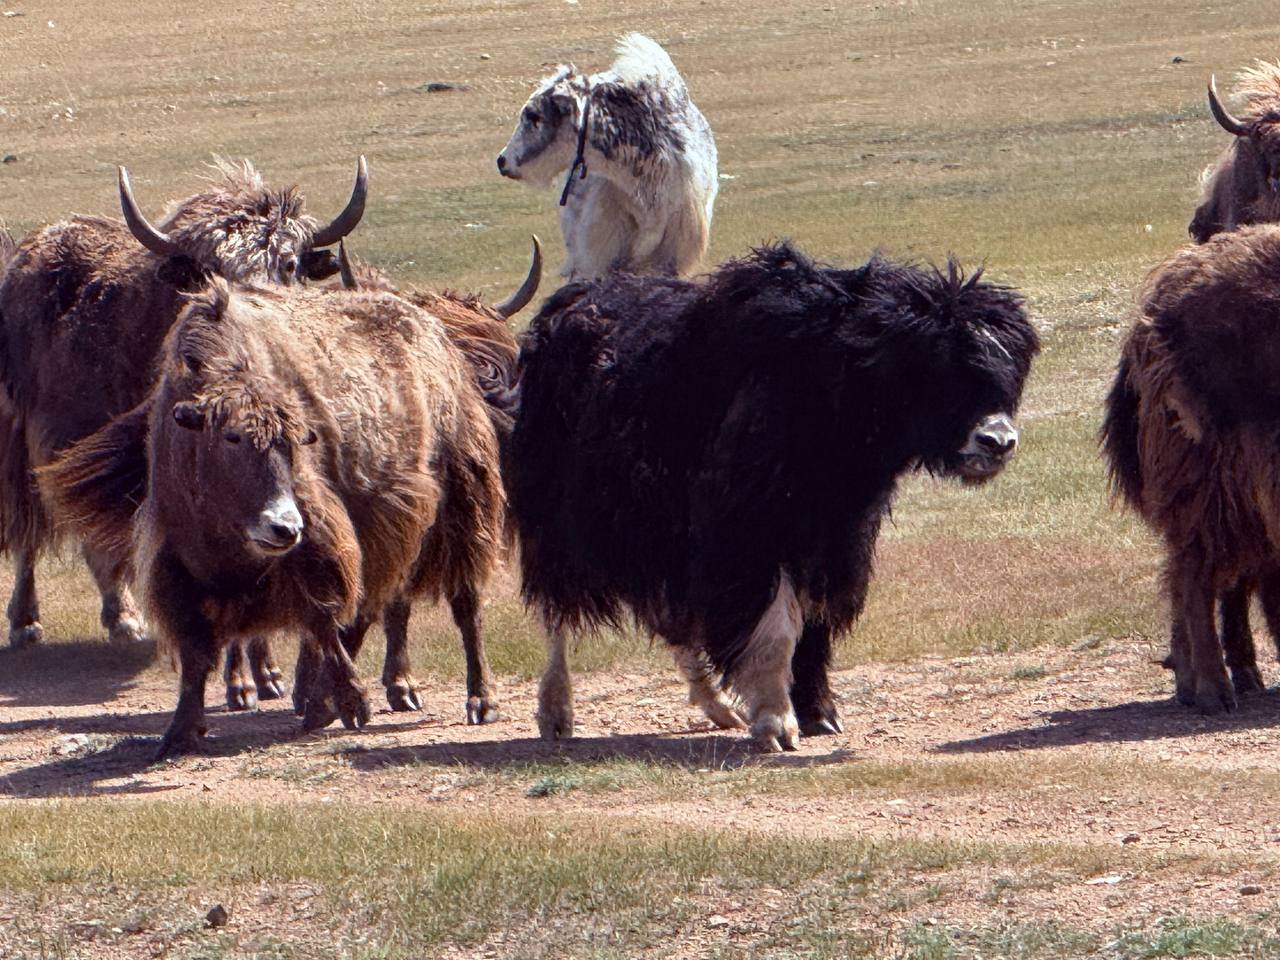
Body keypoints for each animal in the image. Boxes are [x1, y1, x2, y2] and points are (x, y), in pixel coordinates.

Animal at [0, 158, 366, 710]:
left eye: (288, 264)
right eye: (209, 271)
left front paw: (267, 673)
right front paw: (244, 680)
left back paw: (123, 619)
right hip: (29, 437)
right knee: (32, 528)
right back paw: (31, 622)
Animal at [39, 276, 506, 757]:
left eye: (295, 442)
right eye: (231, 438)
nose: (283, 527)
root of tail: (434, 329)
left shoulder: (322, 540)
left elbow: (322, 618)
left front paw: (347, 701)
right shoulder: (180, 560)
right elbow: (196, 650)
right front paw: (180, 732)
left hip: (462, 507)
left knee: (463, 604)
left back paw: (479, 701)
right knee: (371, 610)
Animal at [506, 243, 1038, 750]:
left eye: (1012, 368)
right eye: (939, 364)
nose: (997, 441)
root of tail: (568, 306)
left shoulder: (834, 539)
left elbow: (814, 625)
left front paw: (819, 713)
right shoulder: (751, 539)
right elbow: (777, 630)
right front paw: (776, 723)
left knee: (670, 618)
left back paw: (718, 707)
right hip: (557, 520)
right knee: (556, 614)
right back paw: (556, 714)